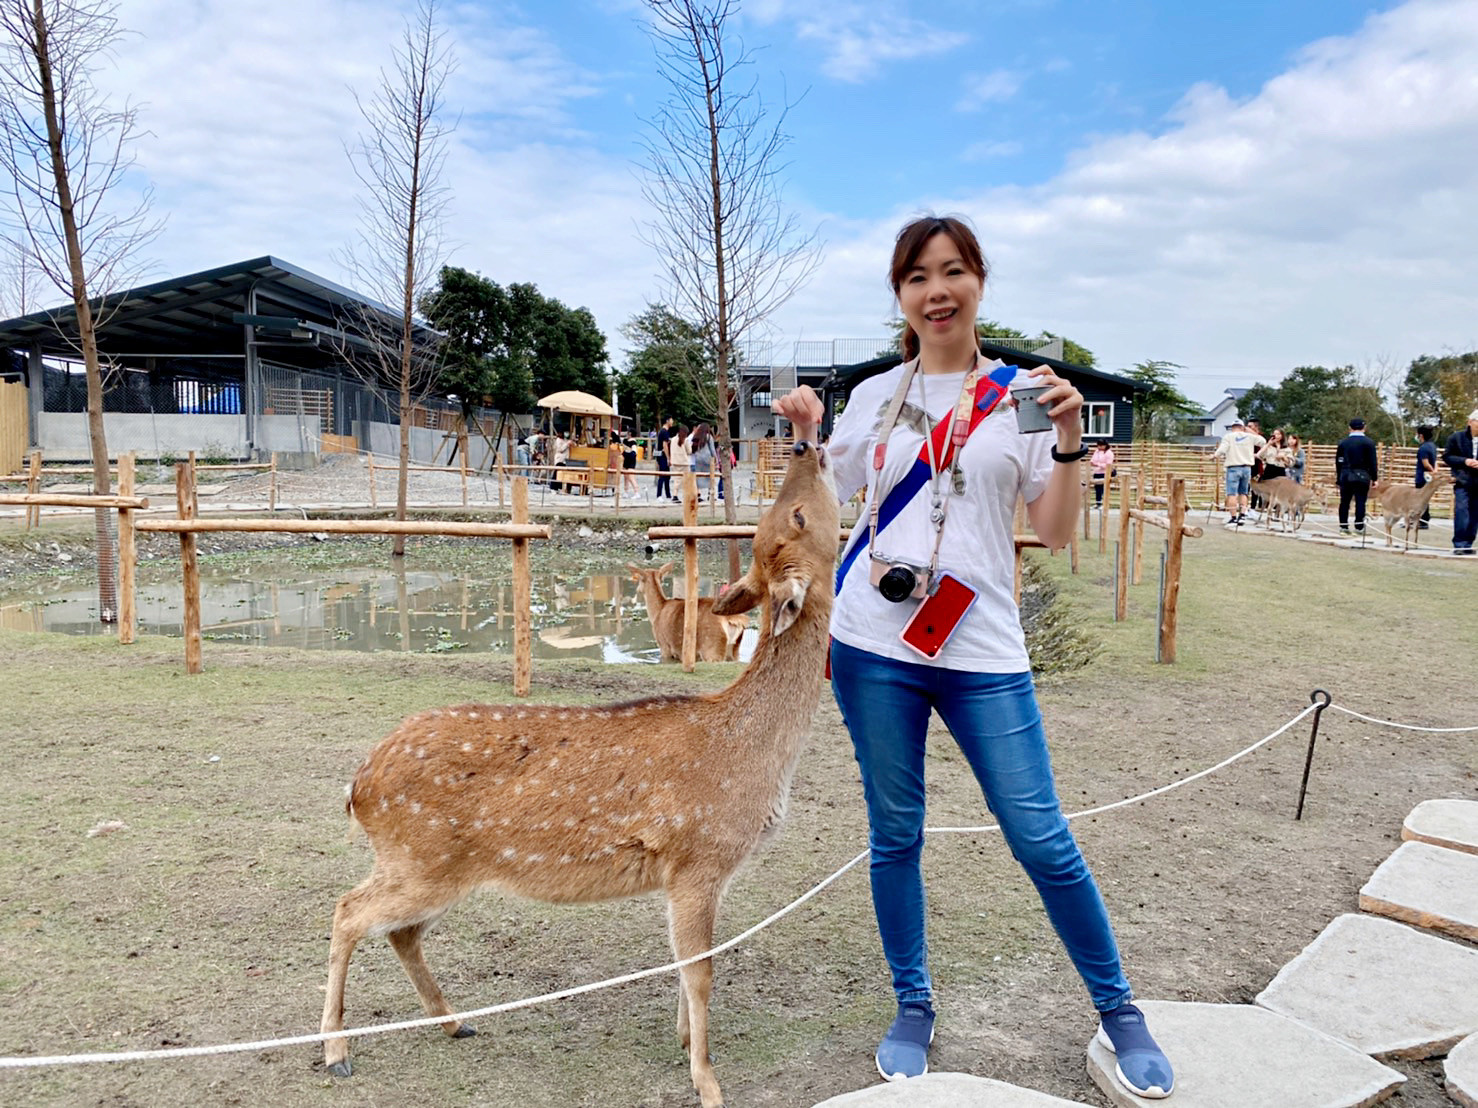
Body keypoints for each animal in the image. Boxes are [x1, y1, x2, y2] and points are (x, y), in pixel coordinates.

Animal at [317, 443, 839, 1108]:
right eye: (792, 514)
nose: (805, 445)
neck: (753, 755)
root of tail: (357, 787)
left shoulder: (690, 873)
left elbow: (683, 963)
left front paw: (686, 1044)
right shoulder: (697, 856)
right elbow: (701, 969)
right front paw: (707, 1080)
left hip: (438, 867)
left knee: (399, 931)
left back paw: (455, 1022)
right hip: (418, 858)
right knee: (347, 911)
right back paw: (336, 1052)